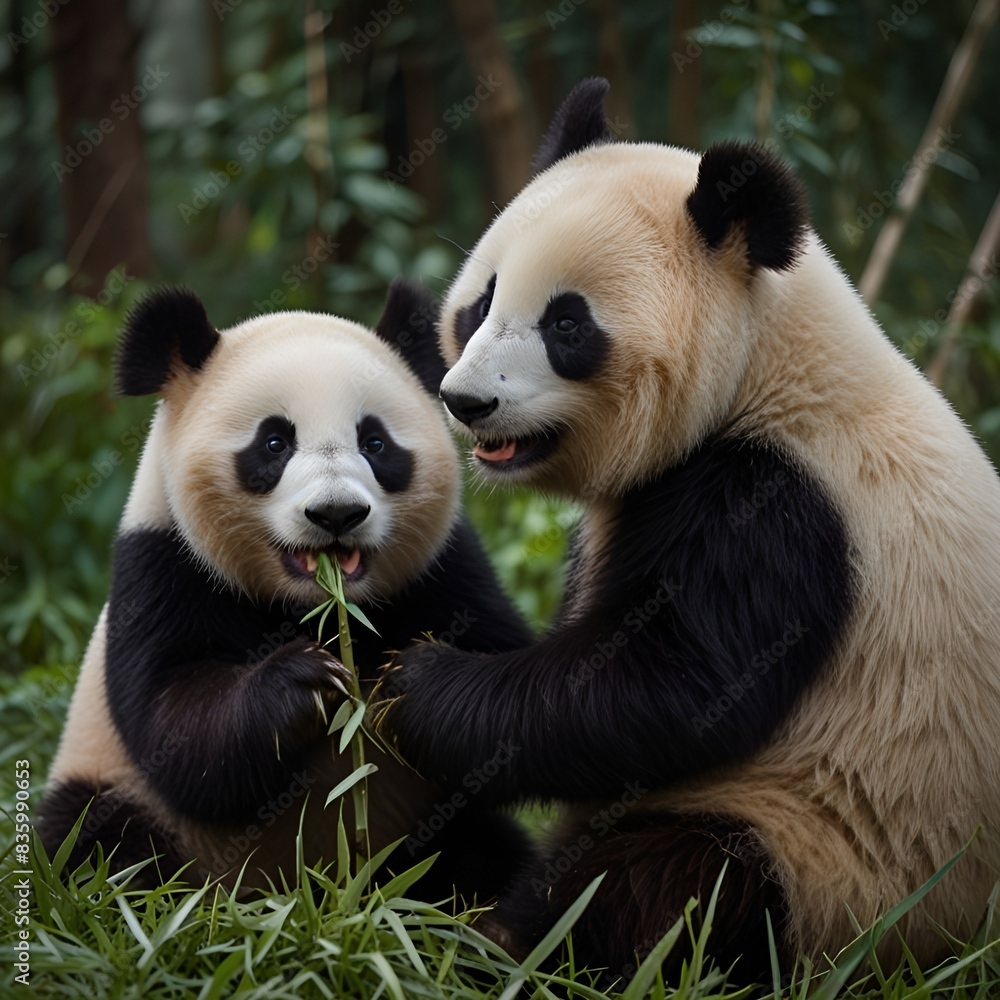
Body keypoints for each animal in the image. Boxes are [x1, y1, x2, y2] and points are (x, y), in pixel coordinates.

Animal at [38, 279, 535, 903]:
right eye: (274, 443)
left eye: (375, 443)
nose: (336, 513)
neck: (307, 604)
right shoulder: (162, 566)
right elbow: (174, 730)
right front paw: (302, 680)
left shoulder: (443, 567)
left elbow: (499, 680)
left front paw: (412, 683)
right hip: (115, 792)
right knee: (96, 850)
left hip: (423, 837)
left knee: (486, 859)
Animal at [372, 78, 1000, 982]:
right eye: (482, 302)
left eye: (567, 325)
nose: (466, 401)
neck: (768, 367)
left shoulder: (776, 507)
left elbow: (670, 689)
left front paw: (415, 683)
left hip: (841, 867)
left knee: (674, 884)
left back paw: (507, 941)